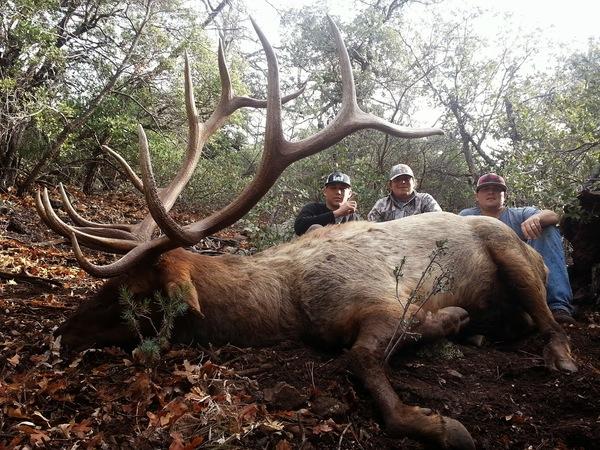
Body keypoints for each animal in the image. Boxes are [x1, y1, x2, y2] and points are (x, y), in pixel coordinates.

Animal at [36, 17, 576, 450]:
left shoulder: (387, 299)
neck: (290, 304)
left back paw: (558, 356)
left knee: (549, 320)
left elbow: (361, 359)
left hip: (508, 248)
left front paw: (441, 417)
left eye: (134, 292)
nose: (61, 335)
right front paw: (455, 326)